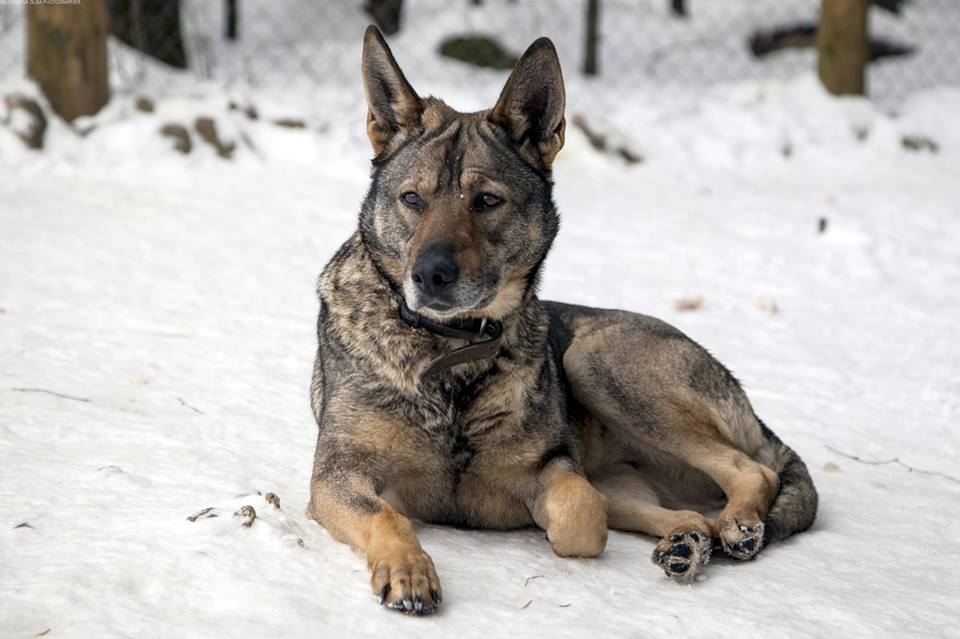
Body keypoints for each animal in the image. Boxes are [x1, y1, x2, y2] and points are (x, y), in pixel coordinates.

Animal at [308, 25, 816, 616]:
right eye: (412, 199)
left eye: (486, 201)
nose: (429, 275)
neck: (453, 354)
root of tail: (752, 412)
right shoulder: (338, 477)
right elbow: (387, 516)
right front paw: (408, 570)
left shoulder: (556, 470)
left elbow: (580, 515)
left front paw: (540, 525)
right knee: (691, 512)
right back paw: (690, 541)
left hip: (595, 361)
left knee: (751, 471)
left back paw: (735, 526)